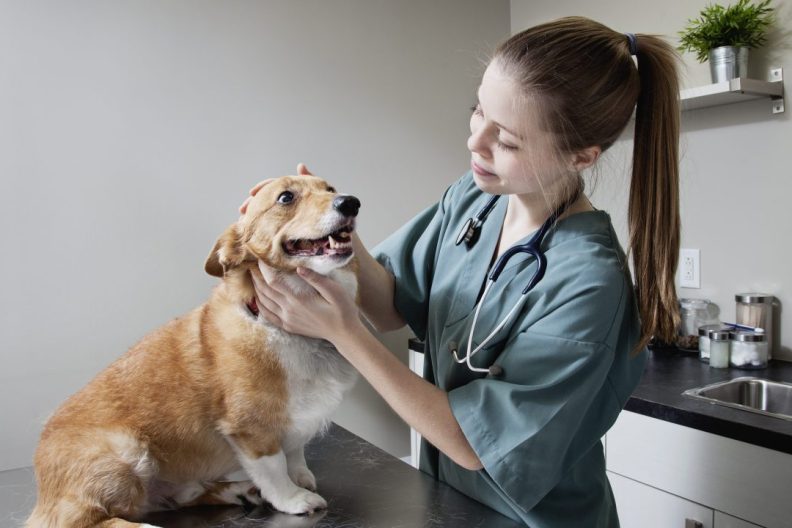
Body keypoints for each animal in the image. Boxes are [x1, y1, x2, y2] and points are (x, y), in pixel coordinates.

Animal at [24, 175, 358, 524]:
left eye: (330, 189)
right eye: (285, 197)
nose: (351, 203)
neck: (283, 328)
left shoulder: (296, 419)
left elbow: (295, 453)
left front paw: (300, 477)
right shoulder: (251, 429)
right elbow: (276, 469)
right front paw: (294, 498)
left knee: (176, 496)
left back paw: (236, 490)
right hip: (126, 450)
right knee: (85, 520)